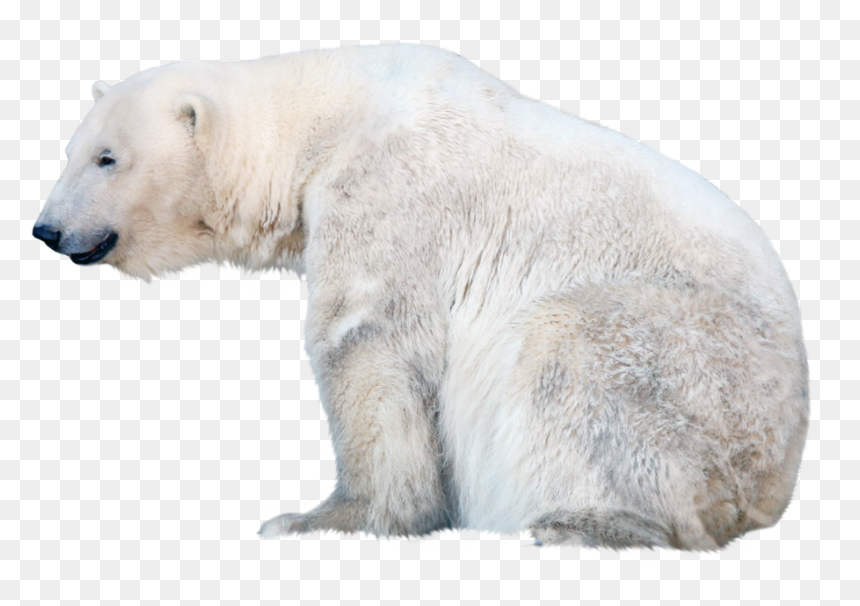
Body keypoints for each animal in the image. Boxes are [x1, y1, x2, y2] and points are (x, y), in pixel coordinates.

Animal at [33, 44, 808, 550]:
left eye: (107, 157)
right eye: (72, 151)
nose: (46, 229)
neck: (324, 117)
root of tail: (775, 484)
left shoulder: (386, 190)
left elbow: (369, 343)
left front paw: (322, 521)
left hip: (697, 371)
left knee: (571, 353)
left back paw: (580, 523)